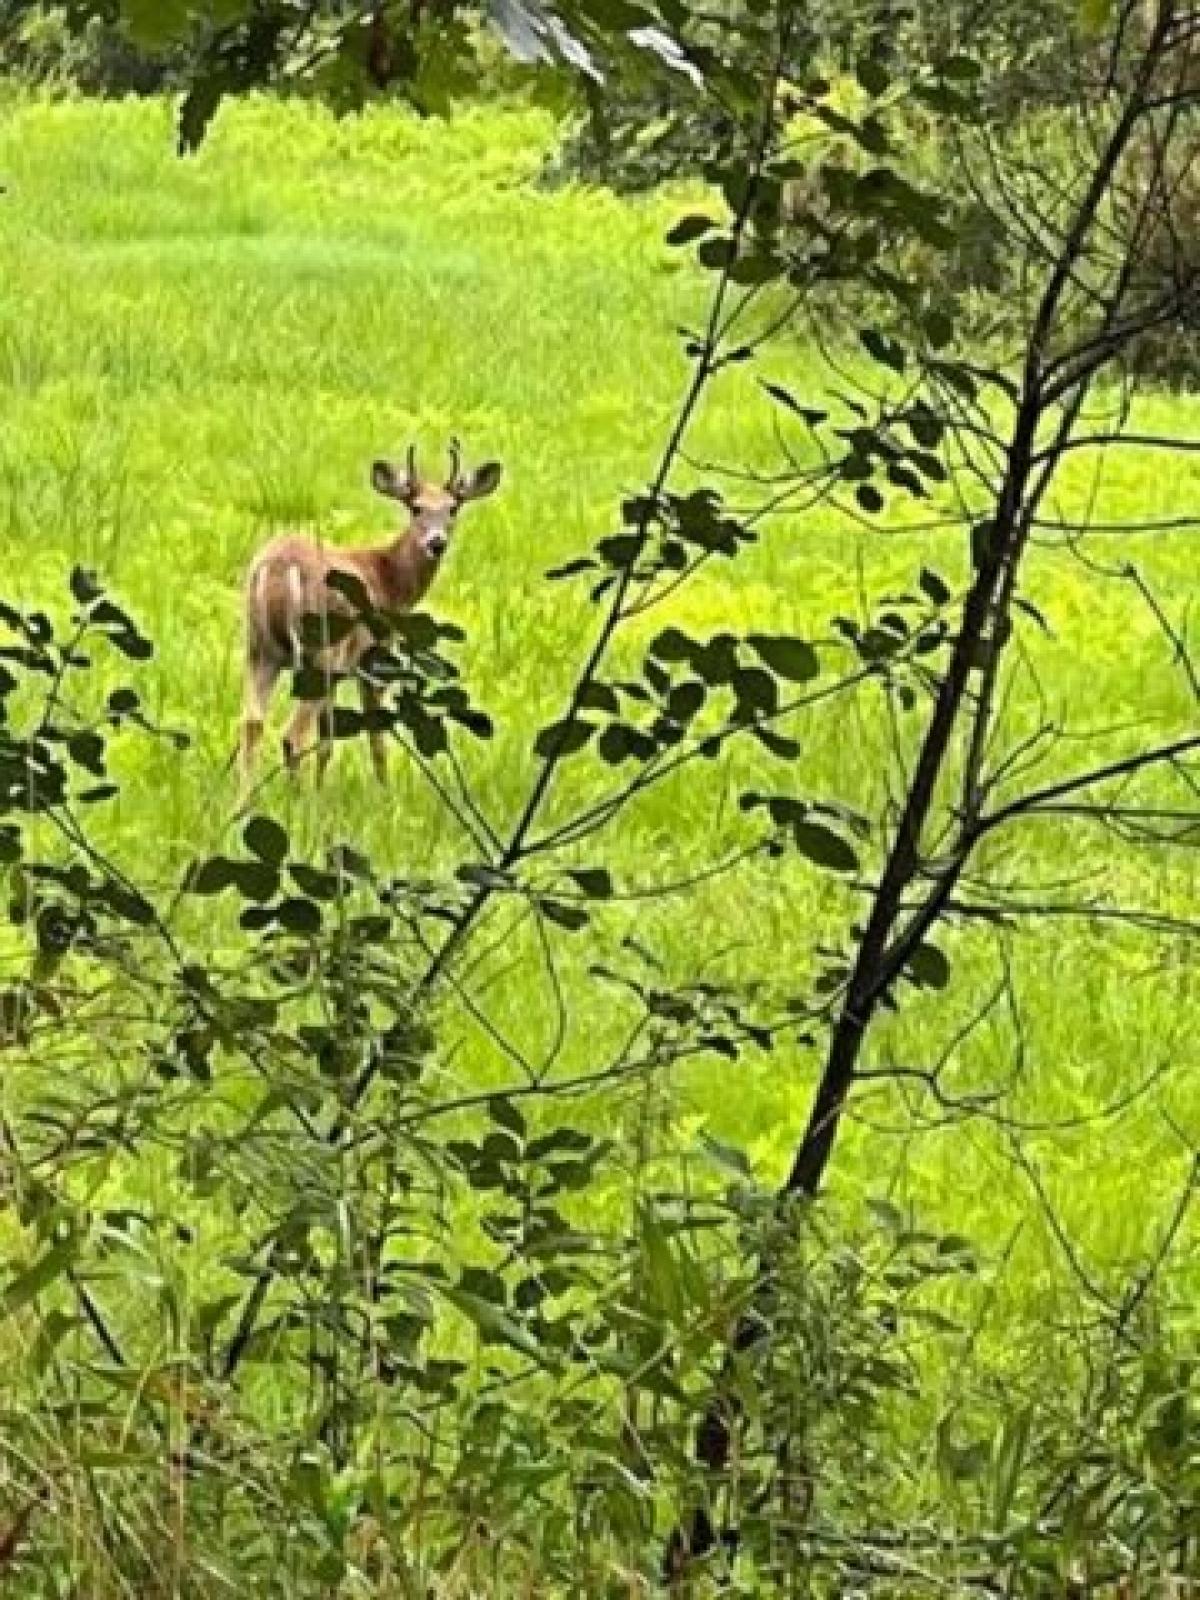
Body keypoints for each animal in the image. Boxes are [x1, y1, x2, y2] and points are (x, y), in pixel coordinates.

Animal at [240, 438, 502, 793]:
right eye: (416, 507)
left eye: (452, 508)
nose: (437, 542)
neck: (389, 581)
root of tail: (279, 568)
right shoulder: (375, 660)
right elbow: (377, 738)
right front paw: (384, 793)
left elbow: (327, 743)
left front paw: (322, 793)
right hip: (321, 651)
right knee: (292, 736)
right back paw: (294, 799)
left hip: (260, 649)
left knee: (251, 725)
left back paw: (244, 801)